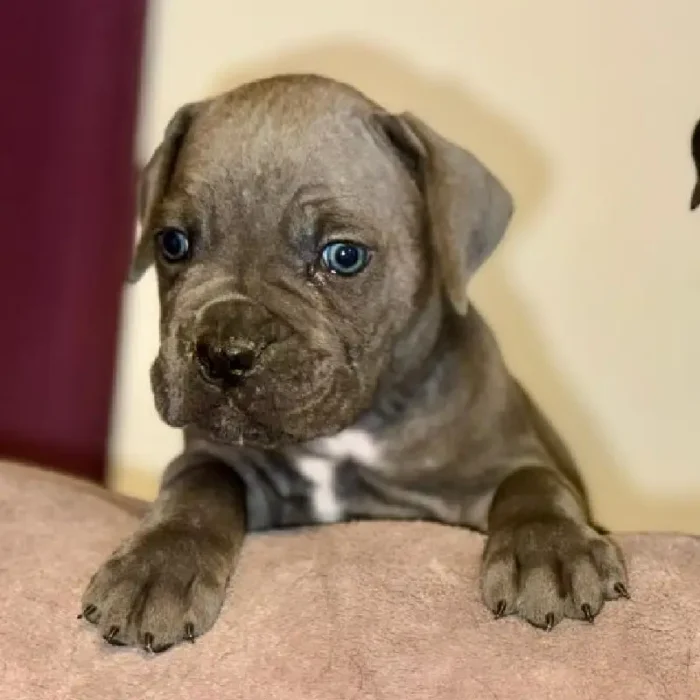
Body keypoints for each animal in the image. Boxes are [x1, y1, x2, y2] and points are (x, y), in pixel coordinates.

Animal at [80, 72, 628, 652]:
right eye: (172, 243)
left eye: (343, 256)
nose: (225, 351)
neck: (348, 436)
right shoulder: (219, 459)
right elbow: (197, 487)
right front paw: (156, 565)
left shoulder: (502, 465)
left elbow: (535, 487)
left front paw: (553, 552)